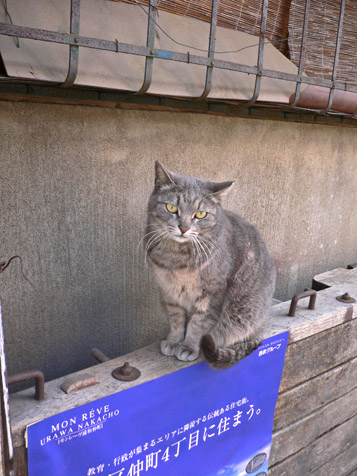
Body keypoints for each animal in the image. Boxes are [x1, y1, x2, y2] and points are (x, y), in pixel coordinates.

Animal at [145, 162, 276, 370]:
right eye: (171, 208)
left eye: (200, 214)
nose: (183, 228)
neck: (176, 257)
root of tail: (260, 328)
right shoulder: (169, 293)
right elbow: (176, 321)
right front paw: (174, 342)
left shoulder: (212, 295)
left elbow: (197, 325)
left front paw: (188, 347)